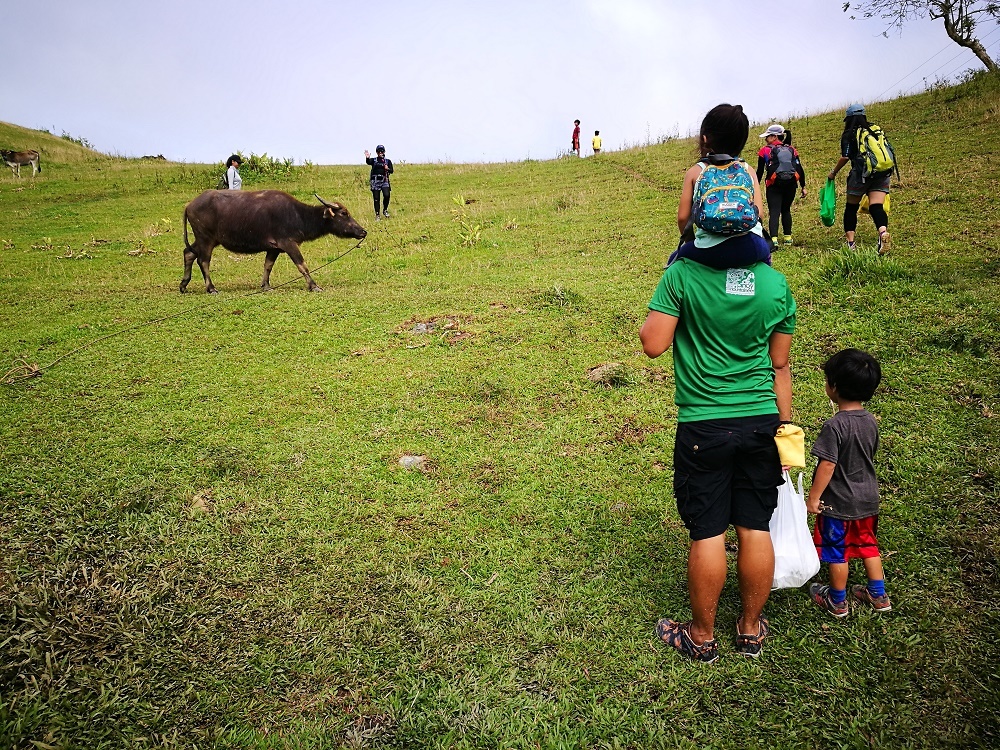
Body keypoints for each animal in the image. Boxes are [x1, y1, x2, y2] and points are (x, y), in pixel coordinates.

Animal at [181, 191, 368, 294]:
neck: (298, 215)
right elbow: (302, 265)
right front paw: (314, 286)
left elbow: (268, 266)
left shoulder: (274, 248)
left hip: (205, 240)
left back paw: (183, 285)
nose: (363, 231)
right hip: (206, 239)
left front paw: (265, 285)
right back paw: (211, 288)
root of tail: (189, 205)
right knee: (203, 261)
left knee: (188, 253)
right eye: (344, 213)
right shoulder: (288, 243)